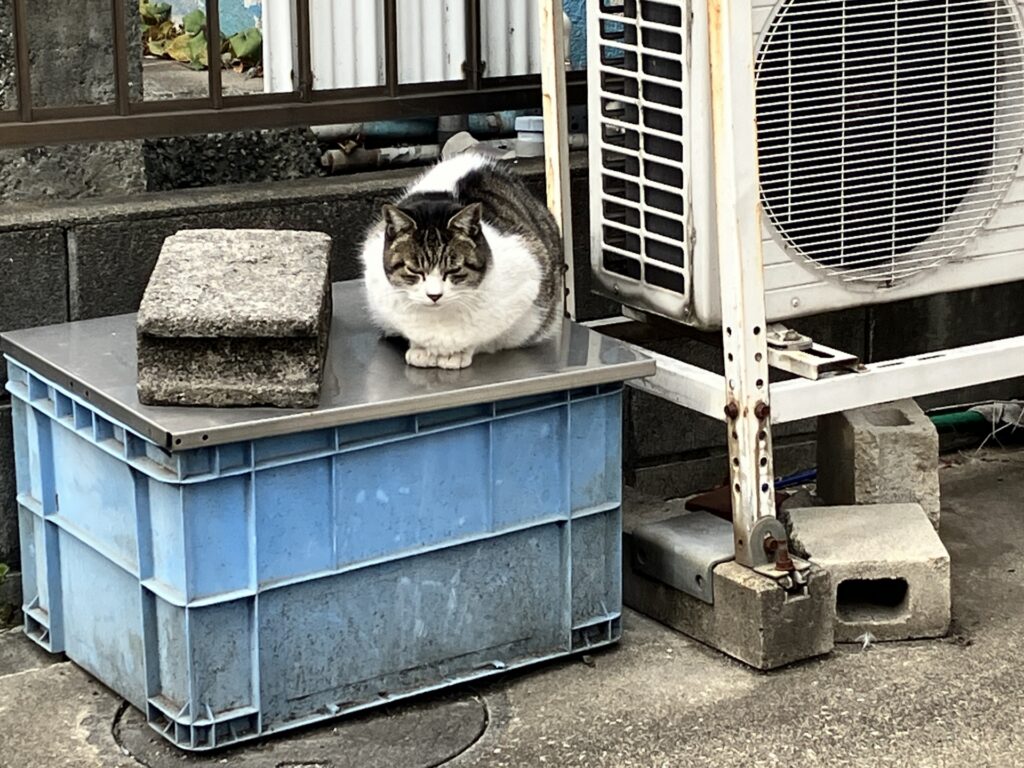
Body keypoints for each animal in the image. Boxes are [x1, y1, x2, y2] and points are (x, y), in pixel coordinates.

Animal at [360, 151, 565, 370]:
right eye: (415, 270)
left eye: (453, 269)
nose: (434, 296)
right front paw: (420, 349)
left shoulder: (530, 274)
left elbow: (485, 335)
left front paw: (458, 353)